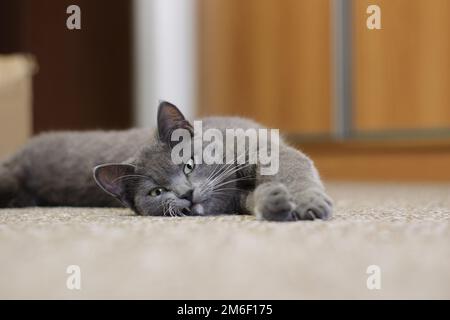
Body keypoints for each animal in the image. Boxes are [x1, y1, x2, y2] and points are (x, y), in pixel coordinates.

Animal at [0, 101, 330, 221]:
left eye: (188, 165)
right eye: (157, 192)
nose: (186, 193)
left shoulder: (266, 151)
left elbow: (292, 169)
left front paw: (308, 204)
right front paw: (275, 203)